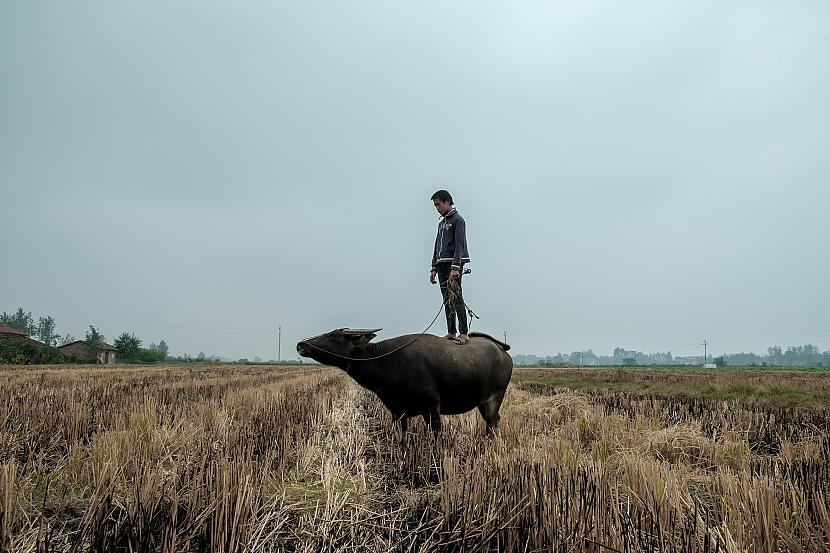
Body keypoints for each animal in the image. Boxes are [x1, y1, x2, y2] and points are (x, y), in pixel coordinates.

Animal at [292, 328, 512, 436]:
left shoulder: (432, 408)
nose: (301, 345)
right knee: (494, 421)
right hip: (482, 403)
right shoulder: (397, 411)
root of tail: (502, 351)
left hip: (495, 398)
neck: (384, 361)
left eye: (334, 335)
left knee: (492, 422)